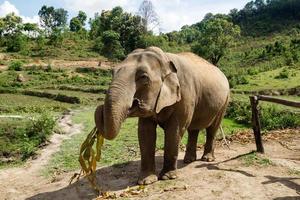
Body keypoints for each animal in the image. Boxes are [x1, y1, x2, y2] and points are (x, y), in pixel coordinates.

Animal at [94, 46, 230, 185]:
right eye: (112, 72)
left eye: (143, 77)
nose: (99, 108)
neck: (165, 59)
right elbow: (145, 131)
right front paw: (146, 181)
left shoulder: (184, 94)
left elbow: (174, 130)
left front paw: (167, 177)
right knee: (193, 129)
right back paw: (189, 160)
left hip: (224, 102)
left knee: (212, 129)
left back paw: (207, 159)